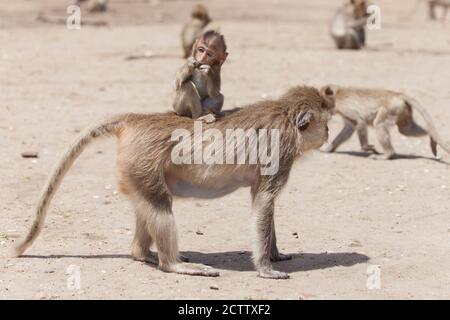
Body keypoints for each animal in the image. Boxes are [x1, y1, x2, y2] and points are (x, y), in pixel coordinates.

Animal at [13, 86, 334, 278]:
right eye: (327, 122)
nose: (329, 134)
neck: (285, 115)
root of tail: (135, 119)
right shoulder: (279, 153)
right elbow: (265, 203)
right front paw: (266, 268)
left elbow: (262, 204)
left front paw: (275, 254)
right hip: (140, 163)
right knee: (159, 207)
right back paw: (173, 264)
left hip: (135, 170)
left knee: (147, 206)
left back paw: (142, 253)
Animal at [320, 85, 450, 159]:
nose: (323, 113)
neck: (337, 95)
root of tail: (398, 94)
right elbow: (349, 128)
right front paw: (328, 149)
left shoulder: (343, 106)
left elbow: (360, 122)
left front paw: (366, 147)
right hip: (402, 110)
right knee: (405, 130)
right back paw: (431, 135)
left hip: (392, 108)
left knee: (379, 125)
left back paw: (389, 155)